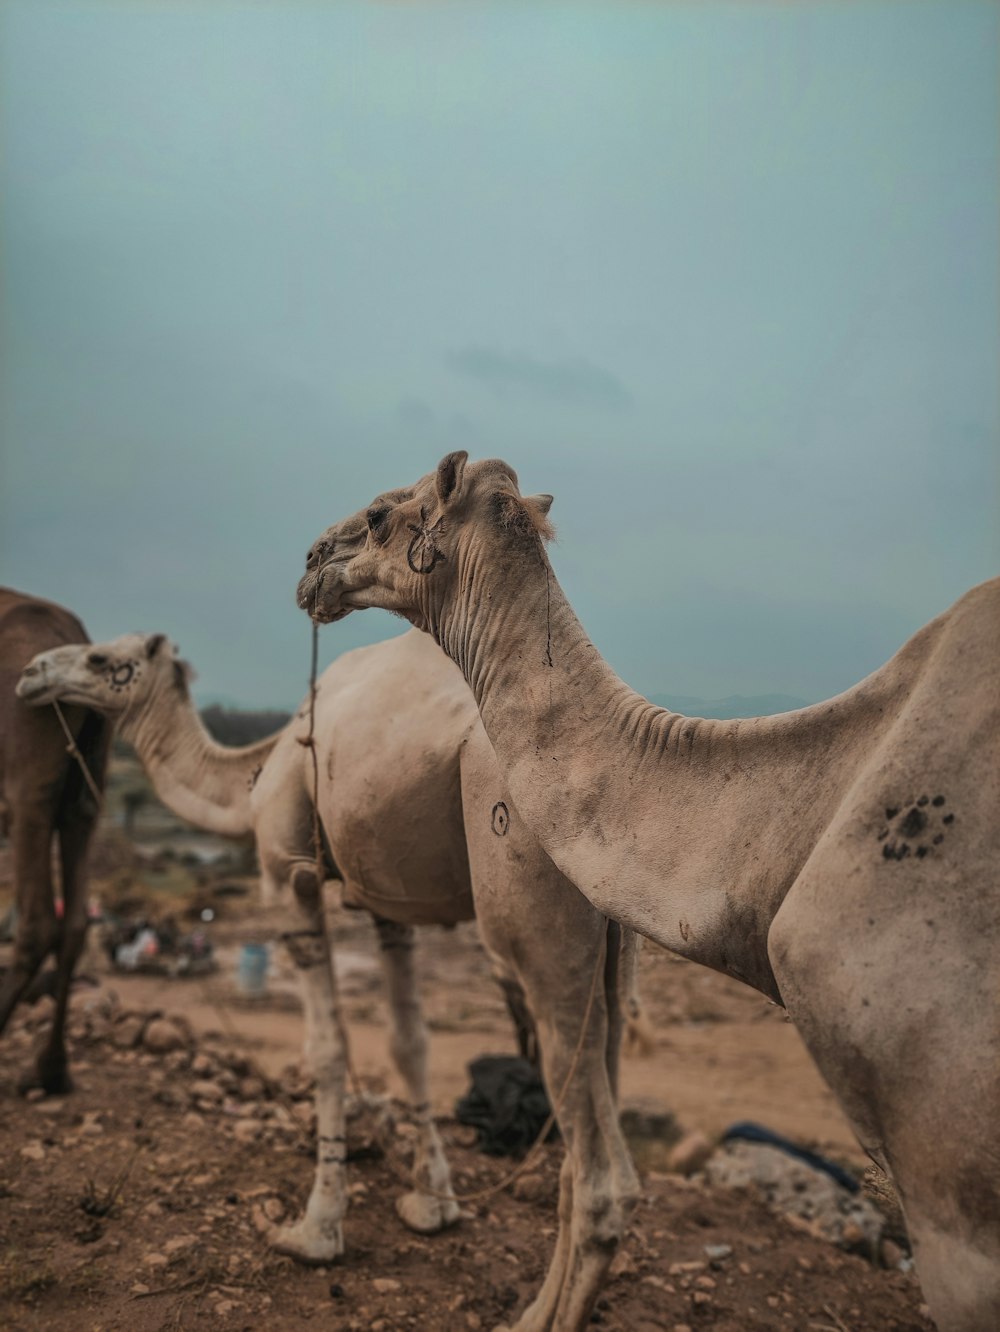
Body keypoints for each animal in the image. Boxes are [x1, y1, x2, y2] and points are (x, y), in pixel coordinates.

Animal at [17, 626, 641, 1332]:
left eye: (101, 659)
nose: (32, 674)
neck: (255, 773)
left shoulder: (292, 875)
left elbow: (327, 1049)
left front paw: (313, 1230)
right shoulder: (386, 903)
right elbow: (408, 1045)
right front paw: (432, 1204)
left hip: (531, 889)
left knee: (597, 1174)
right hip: (616, 937)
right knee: (590, 1114)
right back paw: (533, 1313)